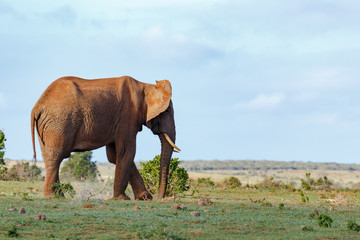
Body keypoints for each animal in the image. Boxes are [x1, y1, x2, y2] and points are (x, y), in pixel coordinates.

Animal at [31, 76, 180, 200]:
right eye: (166, 111)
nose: (159, 198)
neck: (147, 87)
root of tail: (37, 106)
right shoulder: (128, 115)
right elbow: (126, 152)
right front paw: (122, 199)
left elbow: (114, 156)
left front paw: (144, 198)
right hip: (59, 122)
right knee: (56, 156)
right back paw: (54, 197)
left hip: (49, 125)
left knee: (49, 157)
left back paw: (57, 196)